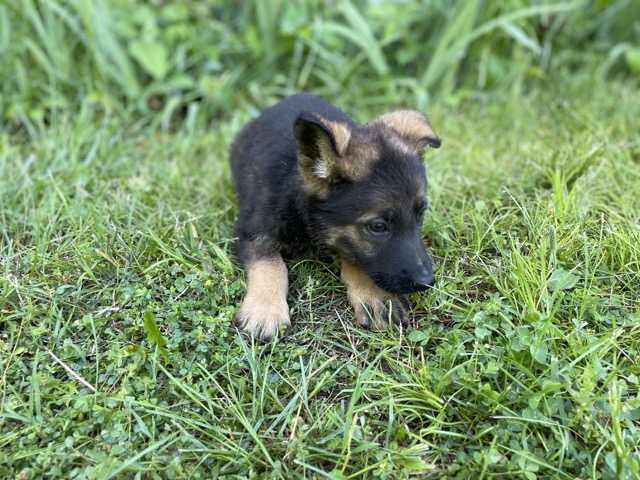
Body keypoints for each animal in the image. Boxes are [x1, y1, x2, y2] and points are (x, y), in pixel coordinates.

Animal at [229, 94, 440, 342]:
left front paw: (374, 294)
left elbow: (355, 256)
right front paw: (265, 310)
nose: (427, 282)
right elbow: (271, 265)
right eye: (378, 227)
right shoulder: (250, 231)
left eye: (420, 213)